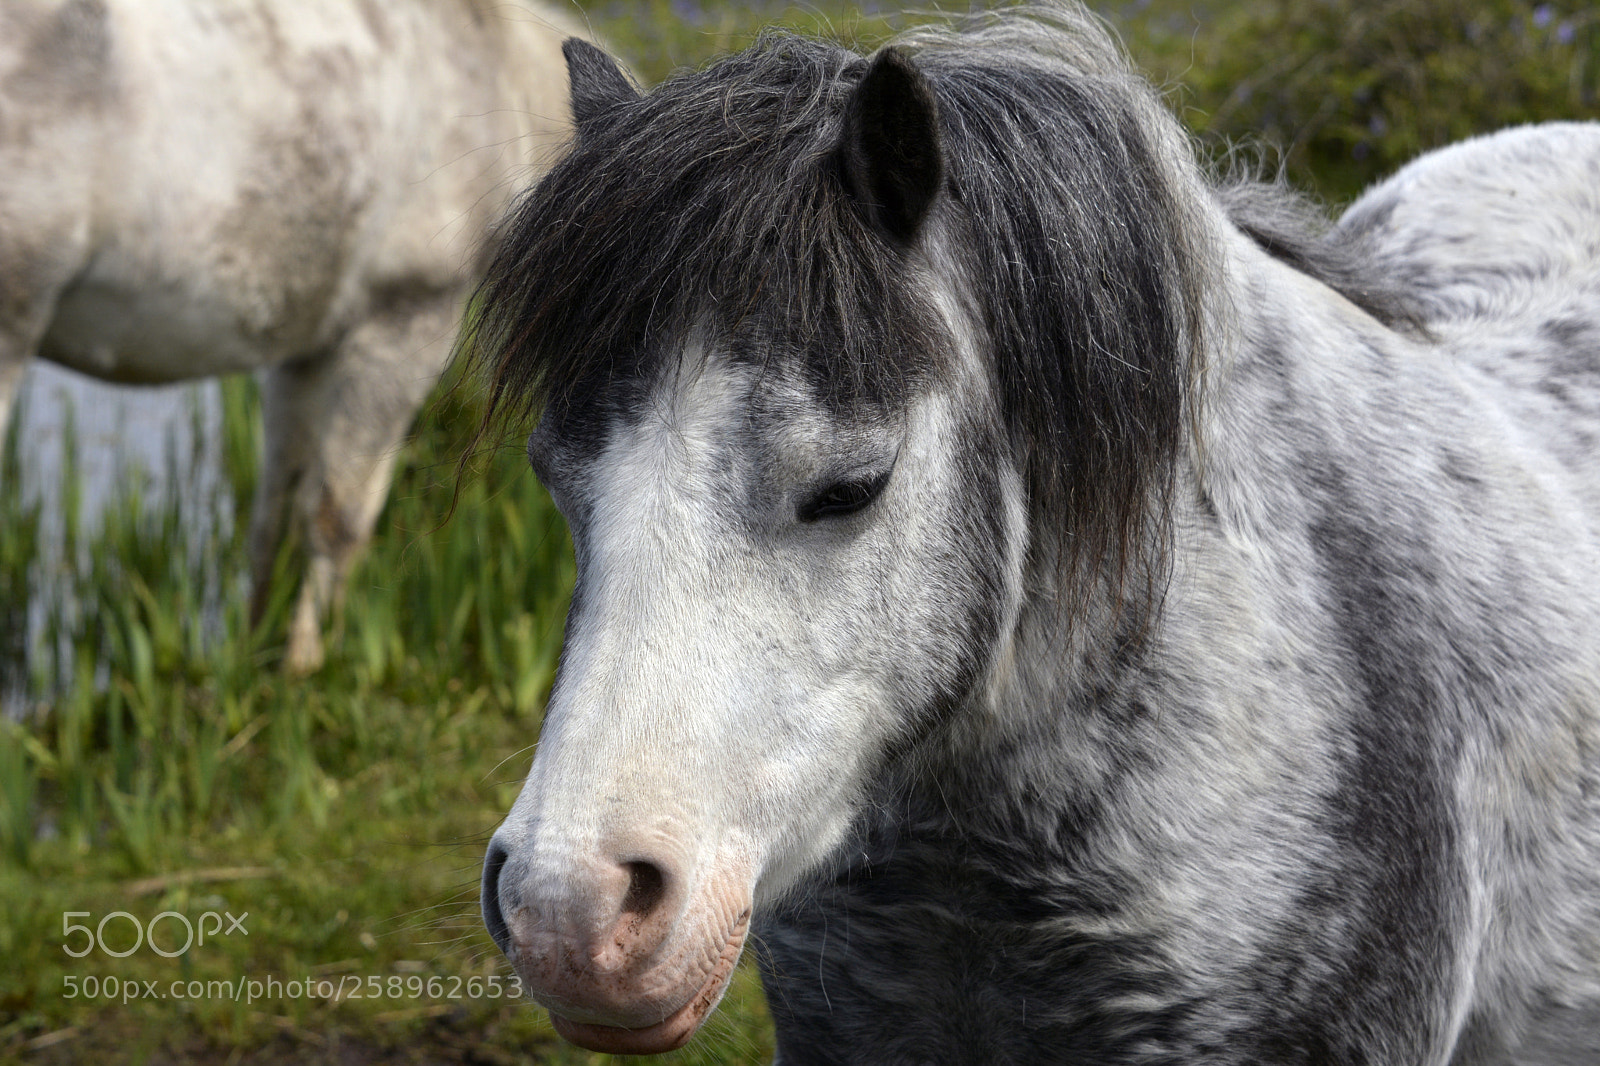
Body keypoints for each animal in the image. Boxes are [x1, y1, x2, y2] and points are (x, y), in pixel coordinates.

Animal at [0, 0, 587, 674]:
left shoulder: (306, 352)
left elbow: (275, 517)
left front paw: (255, 661)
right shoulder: (405, 325)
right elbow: (338, 516)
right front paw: (310, 670)